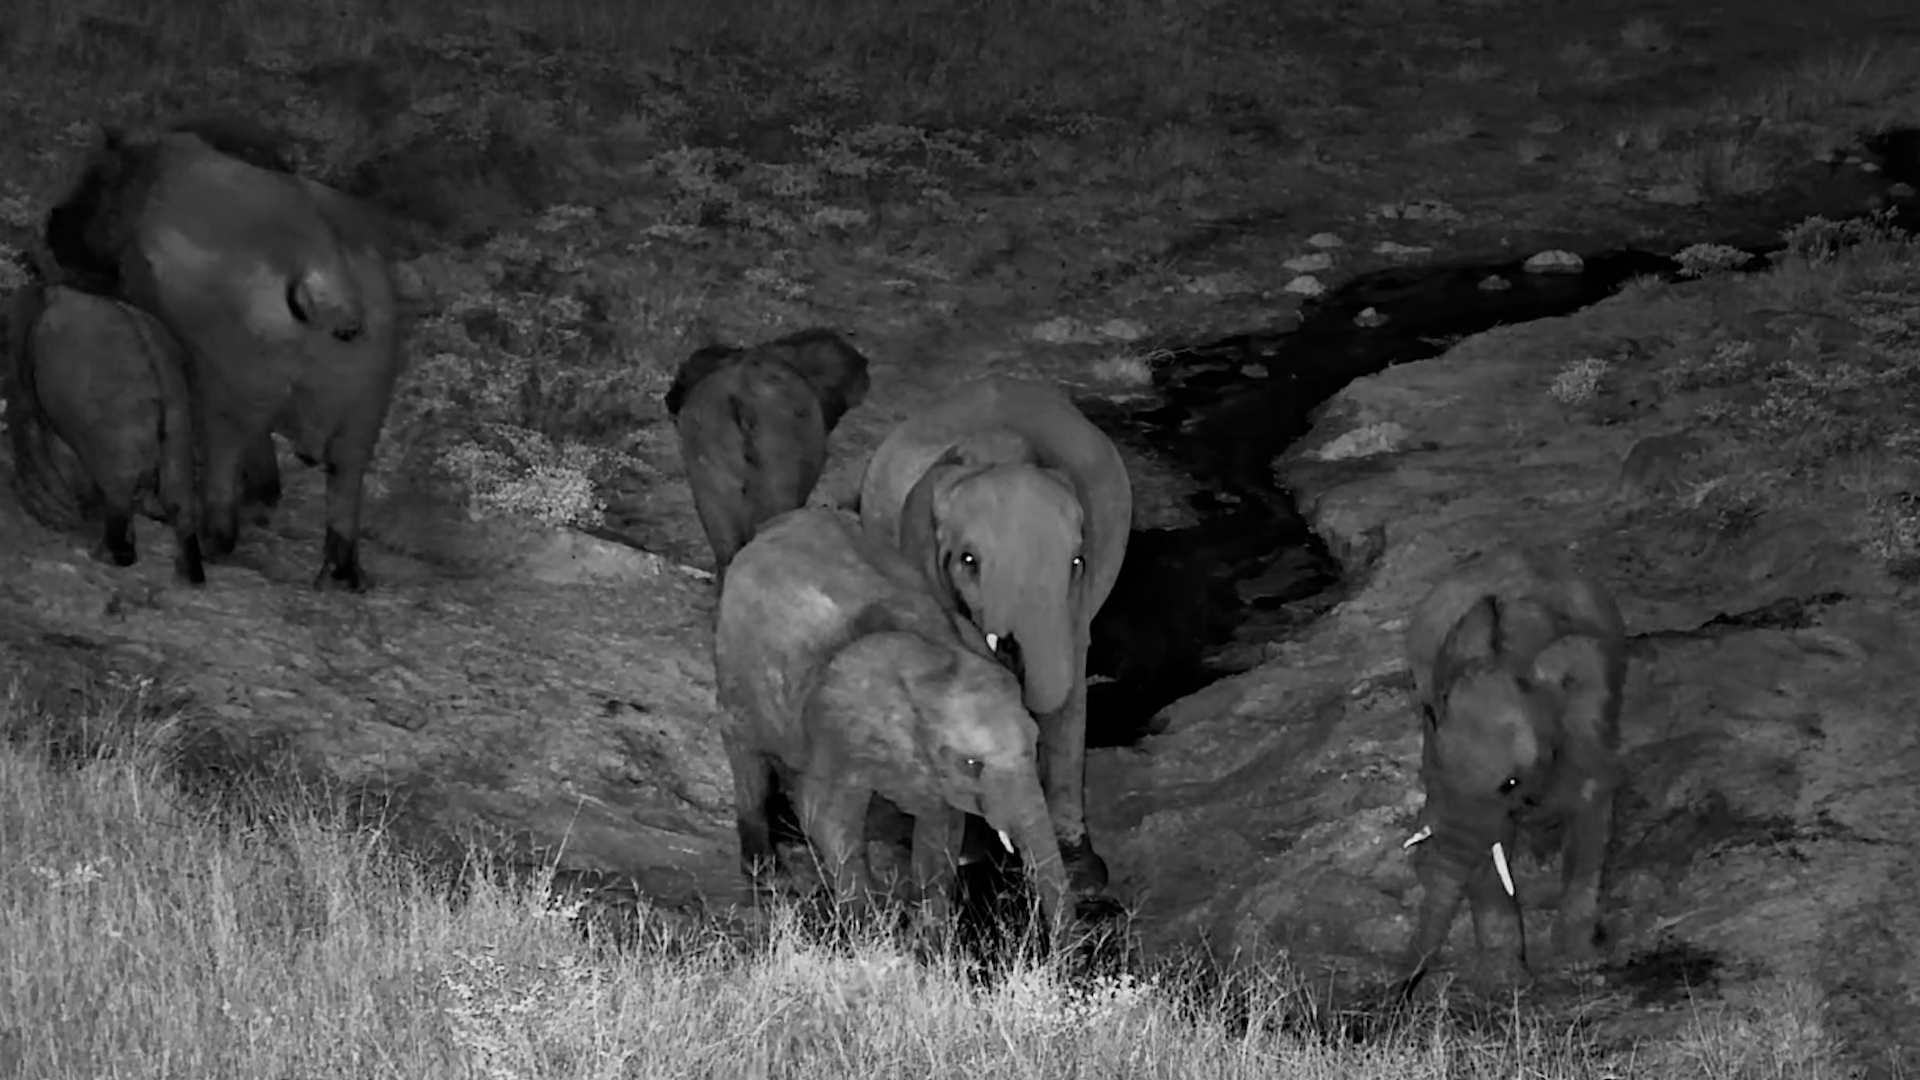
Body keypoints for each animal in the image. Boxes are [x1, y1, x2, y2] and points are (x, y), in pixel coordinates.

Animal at [3, 279, 204, 584]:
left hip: (115, 422)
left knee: (119, 492)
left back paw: (110, 553)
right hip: (177, 415)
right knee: (177, 494)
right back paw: (190, 574)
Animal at [42, 122, 404, 591]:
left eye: (93, 182)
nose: (51, 226)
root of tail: (327, 276)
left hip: (231, 391)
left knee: (224, 460)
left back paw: (216, 539)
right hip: (362, 411)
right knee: (344, 485)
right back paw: (337, 574)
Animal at [714, 506, 1070, 934]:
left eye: (1036, 748)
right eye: (972, 764)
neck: (938, 659)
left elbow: (941, 832)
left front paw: (928, 938)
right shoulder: (840, 724)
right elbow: (824, 813)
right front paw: (866, 931)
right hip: (735, 666)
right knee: (746, 757)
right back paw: (764, 873)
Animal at [856, 376, 1132, 893]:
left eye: (1076, 563)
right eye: (968, 561)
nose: (1007, 645)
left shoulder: (1075, 605)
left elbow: (1068, 691)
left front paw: (1083, 877)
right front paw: (966, 854)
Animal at [1401, 546, 1628, 982]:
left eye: (1510, 783)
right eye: (1434, 765)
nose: (1403, 988)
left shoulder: (1587, 733)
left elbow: (1590, 826)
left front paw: (1580, 960)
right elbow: (1489, 856)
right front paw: (1505, 982)